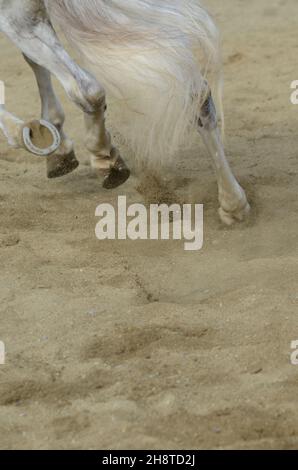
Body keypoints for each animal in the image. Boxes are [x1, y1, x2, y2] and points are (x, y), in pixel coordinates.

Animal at [0, 0, 249, 225]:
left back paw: (103, 158)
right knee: (197, 93)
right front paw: (55, 140)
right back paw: (233, 203)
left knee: (86, 89)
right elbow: (32, 62)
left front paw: (33, 135)